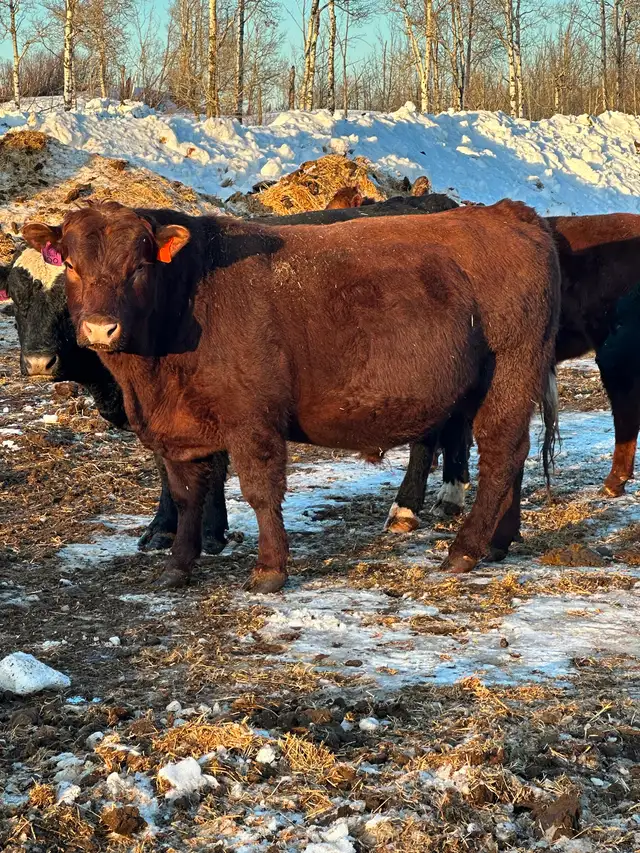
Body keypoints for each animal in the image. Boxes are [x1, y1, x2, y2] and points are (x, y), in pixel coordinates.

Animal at [4, 246, 230, 555]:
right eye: (16, 297)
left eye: (69, 298)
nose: (39, 362)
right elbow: (165, 468)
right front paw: (161, 529)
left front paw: (212, 532)